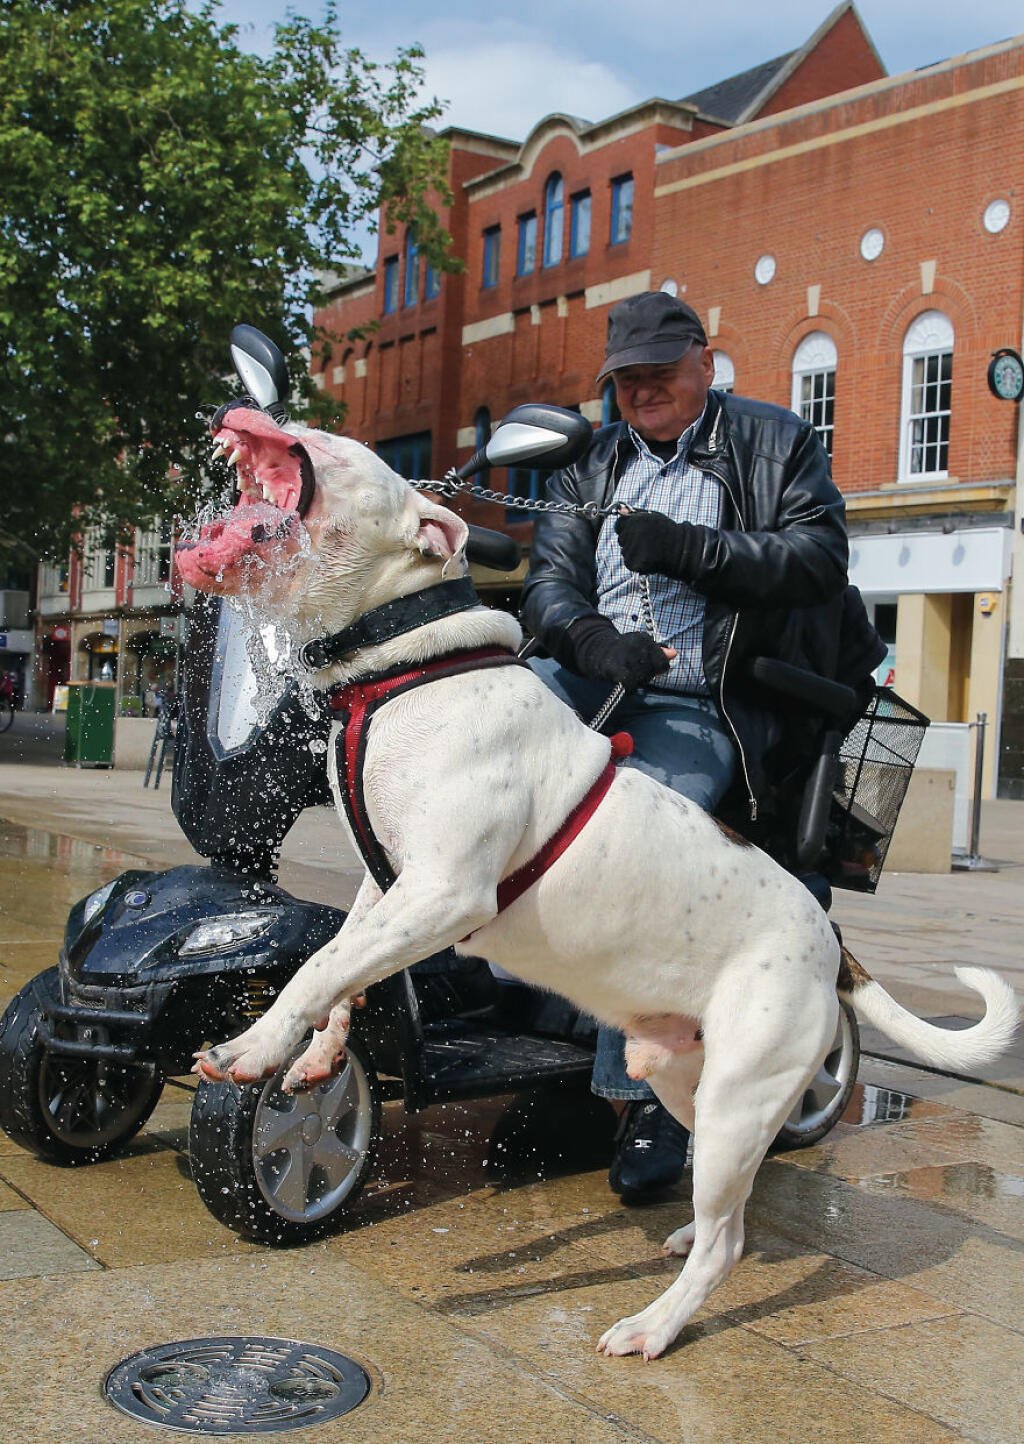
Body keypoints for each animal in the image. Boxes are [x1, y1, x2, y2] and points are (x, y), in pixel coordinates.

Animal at [179, 410, 1016, 1363]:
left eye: (323, 442)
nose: (247, 413)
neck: (400, 666)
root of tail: (833, 945)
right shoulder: (383, 881)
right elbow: (337, 963)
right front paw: (315, 1054)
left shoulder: (443, 893)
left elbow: (319, 967)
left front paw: (253, 1048)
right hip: (690, 1079)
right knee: (729, 1208)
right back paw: (684, 1237)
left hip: (741, 1092)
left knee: (727, 1239)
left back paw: (654, 1324)